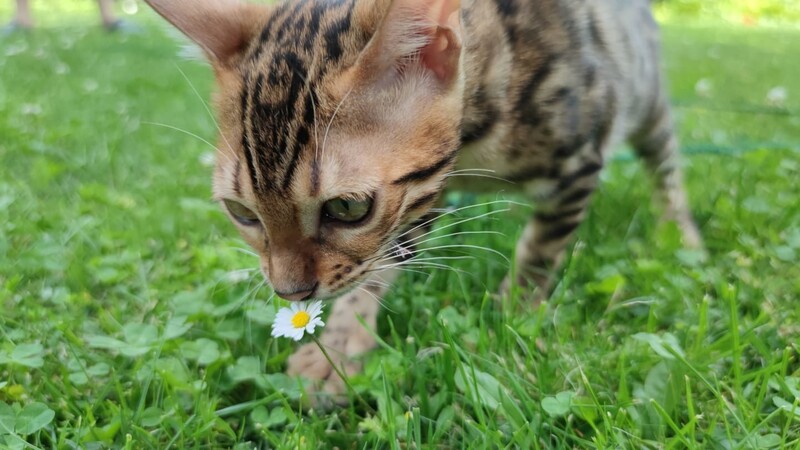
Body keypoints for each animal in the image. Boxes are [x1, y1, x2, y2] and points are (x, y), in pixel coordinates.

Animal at [144, 0, 700, 396]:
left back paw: (682, 233)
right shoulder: (418, 197)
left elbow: (540, 252)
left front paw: (513, 316)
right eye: (242, 212)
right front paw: (338, 349)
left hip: (645, 101)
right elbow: (377, 266)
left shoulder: (582, 156)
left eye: (347, 208)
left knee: (667, 167)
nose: (290, 294)